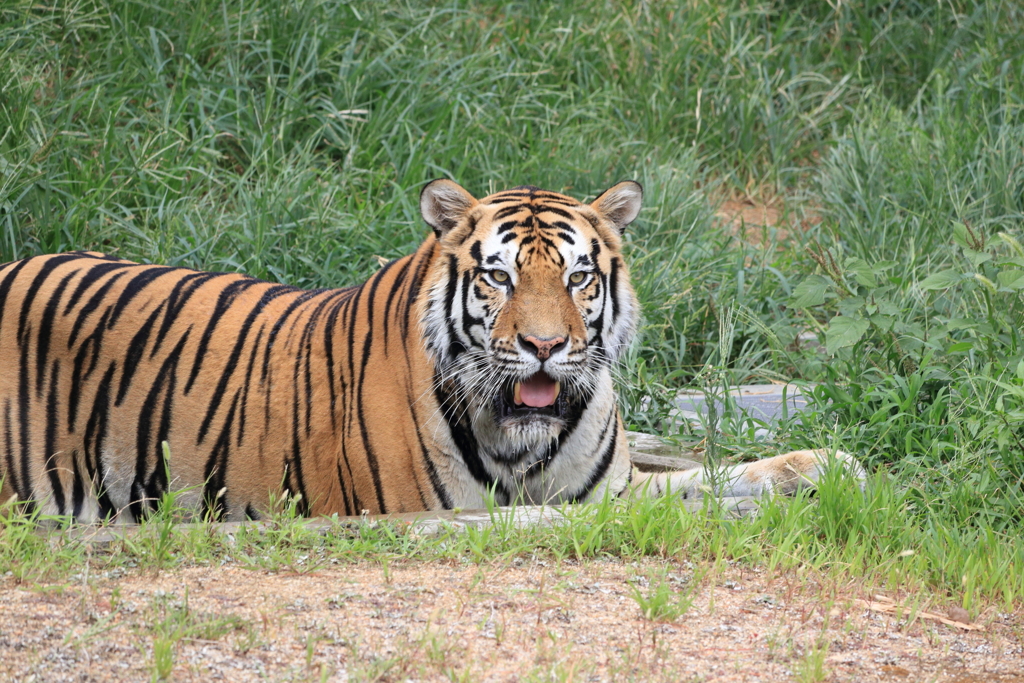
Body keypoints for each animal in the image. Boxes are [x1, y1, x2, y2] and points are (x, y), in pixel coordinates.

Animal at [0, 179, 864, 520]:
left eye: (578, 276)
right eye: (498, 276)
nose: (545, 345)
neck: (527, 436)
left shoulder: (608, 492)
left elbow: (714, 481)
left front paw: (829, 467)